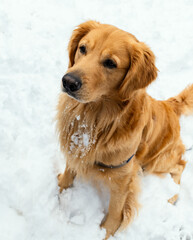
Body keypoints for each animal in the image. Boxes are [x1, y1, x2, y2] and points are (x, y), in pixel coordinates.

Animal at [56, 20, 193, 238]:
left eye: (110, 63)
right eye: (82, 48)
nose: (68, 81)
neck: (94, 118)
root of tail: (169, 105)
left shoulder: (123, 173)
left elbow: (116, 209)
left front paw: (106, 232)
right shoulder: (75, 148)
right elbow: (69, 173)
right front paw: (60, 192)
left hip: (157, 161)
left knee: (180, 164)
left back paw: (172, 196)